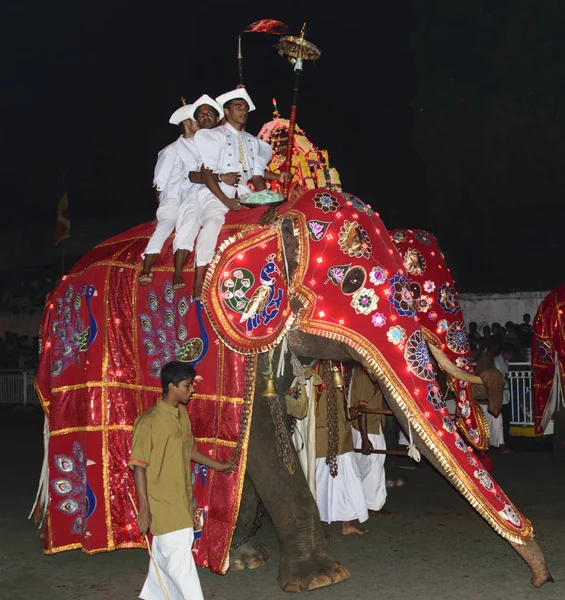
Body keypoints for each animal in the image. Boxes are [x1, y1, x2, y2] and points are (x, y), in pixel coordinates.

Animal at [34, 188, 552, 592]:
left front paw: (244, 556)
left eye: (415, 290)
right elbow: (265, 439)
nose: (540, 578)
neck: (274, 216)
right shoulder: (242, 342)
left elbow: (263, 440)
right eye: (353, 281)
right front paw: (321, 577)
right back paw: (78, 538)